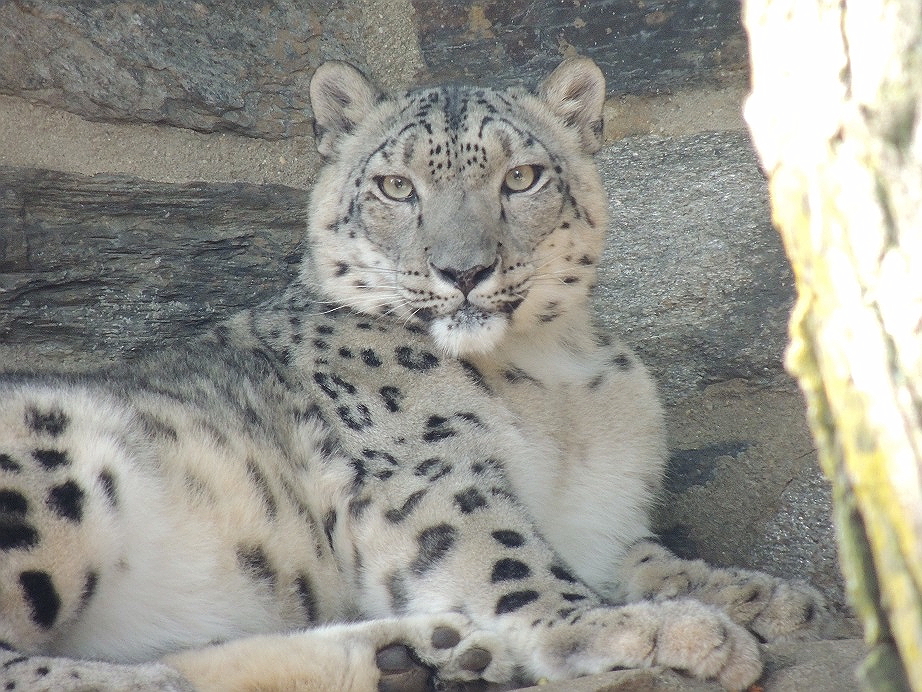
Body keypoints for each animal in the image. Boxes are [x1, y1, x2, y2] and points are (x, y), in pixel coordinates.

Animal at [0, 58, 828, 691]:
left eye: (522, 177)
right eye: (396, 187)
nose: (463, 270)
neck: (554, 374)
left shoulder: (603, 514)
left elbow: (652, 557)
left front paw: (765, 596)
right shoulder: (432, 473)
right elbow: (516, 561)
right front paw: (655, 630)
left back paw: (420, 651)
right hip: (43, 469)